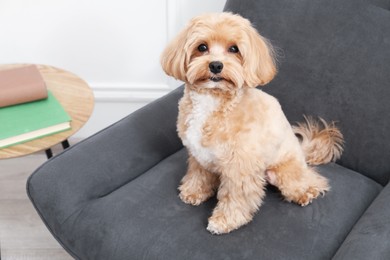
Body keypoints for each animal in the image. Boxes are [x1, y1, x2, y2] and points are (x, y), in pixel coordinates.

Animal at [160, 12, 342, 236]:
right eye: (202, 47)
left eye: (234, 49)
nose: (216, 65)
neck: (213, 101)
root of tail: (301, 149)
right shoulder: (198, 155)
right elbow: (198, 174)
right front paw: (194, 192)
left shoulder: (241, 167)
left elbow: (236, 196)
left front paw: (224, 221)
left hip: (284, 171)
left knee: (310, 181)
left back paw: (306, 193)